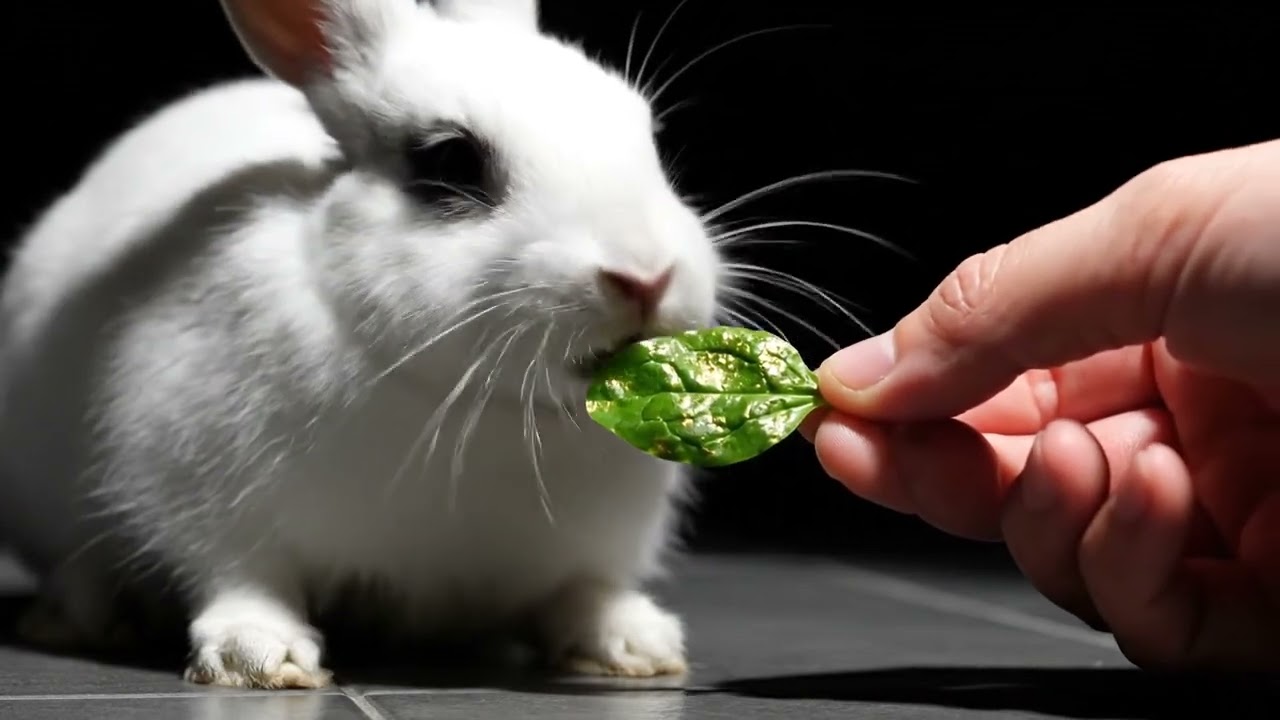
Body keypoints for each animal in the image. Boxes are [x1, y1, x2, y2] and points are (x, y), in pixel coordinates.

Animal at [0, 0, 726, 689]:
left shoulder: (587, 547)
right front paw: (256, 655)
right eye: (450, 158)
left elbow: (583, 592)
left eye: (647, 137)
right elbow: (242, 579)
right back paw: (79, 617)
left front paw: (637, 643)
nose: (646, 276)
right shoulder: (200, 494)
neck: (464, 400)